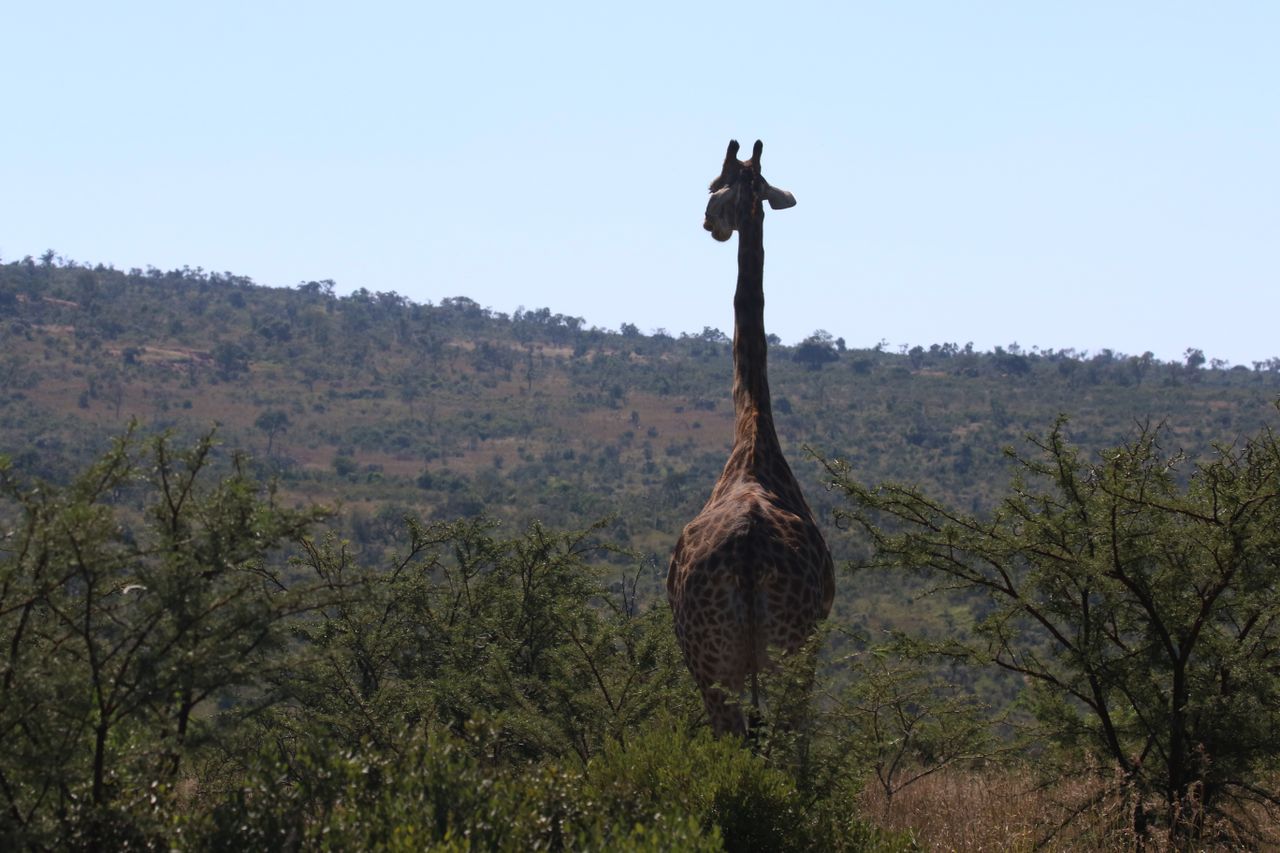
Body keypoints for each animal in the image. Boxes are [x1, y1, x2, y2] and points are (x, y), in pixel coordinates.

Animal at [667, 139, 835, 737]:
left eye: (714, 185)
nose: (708, 223)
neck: (753, 430)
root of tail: (746, 550)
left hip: (720, 663)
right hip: (780, 655)